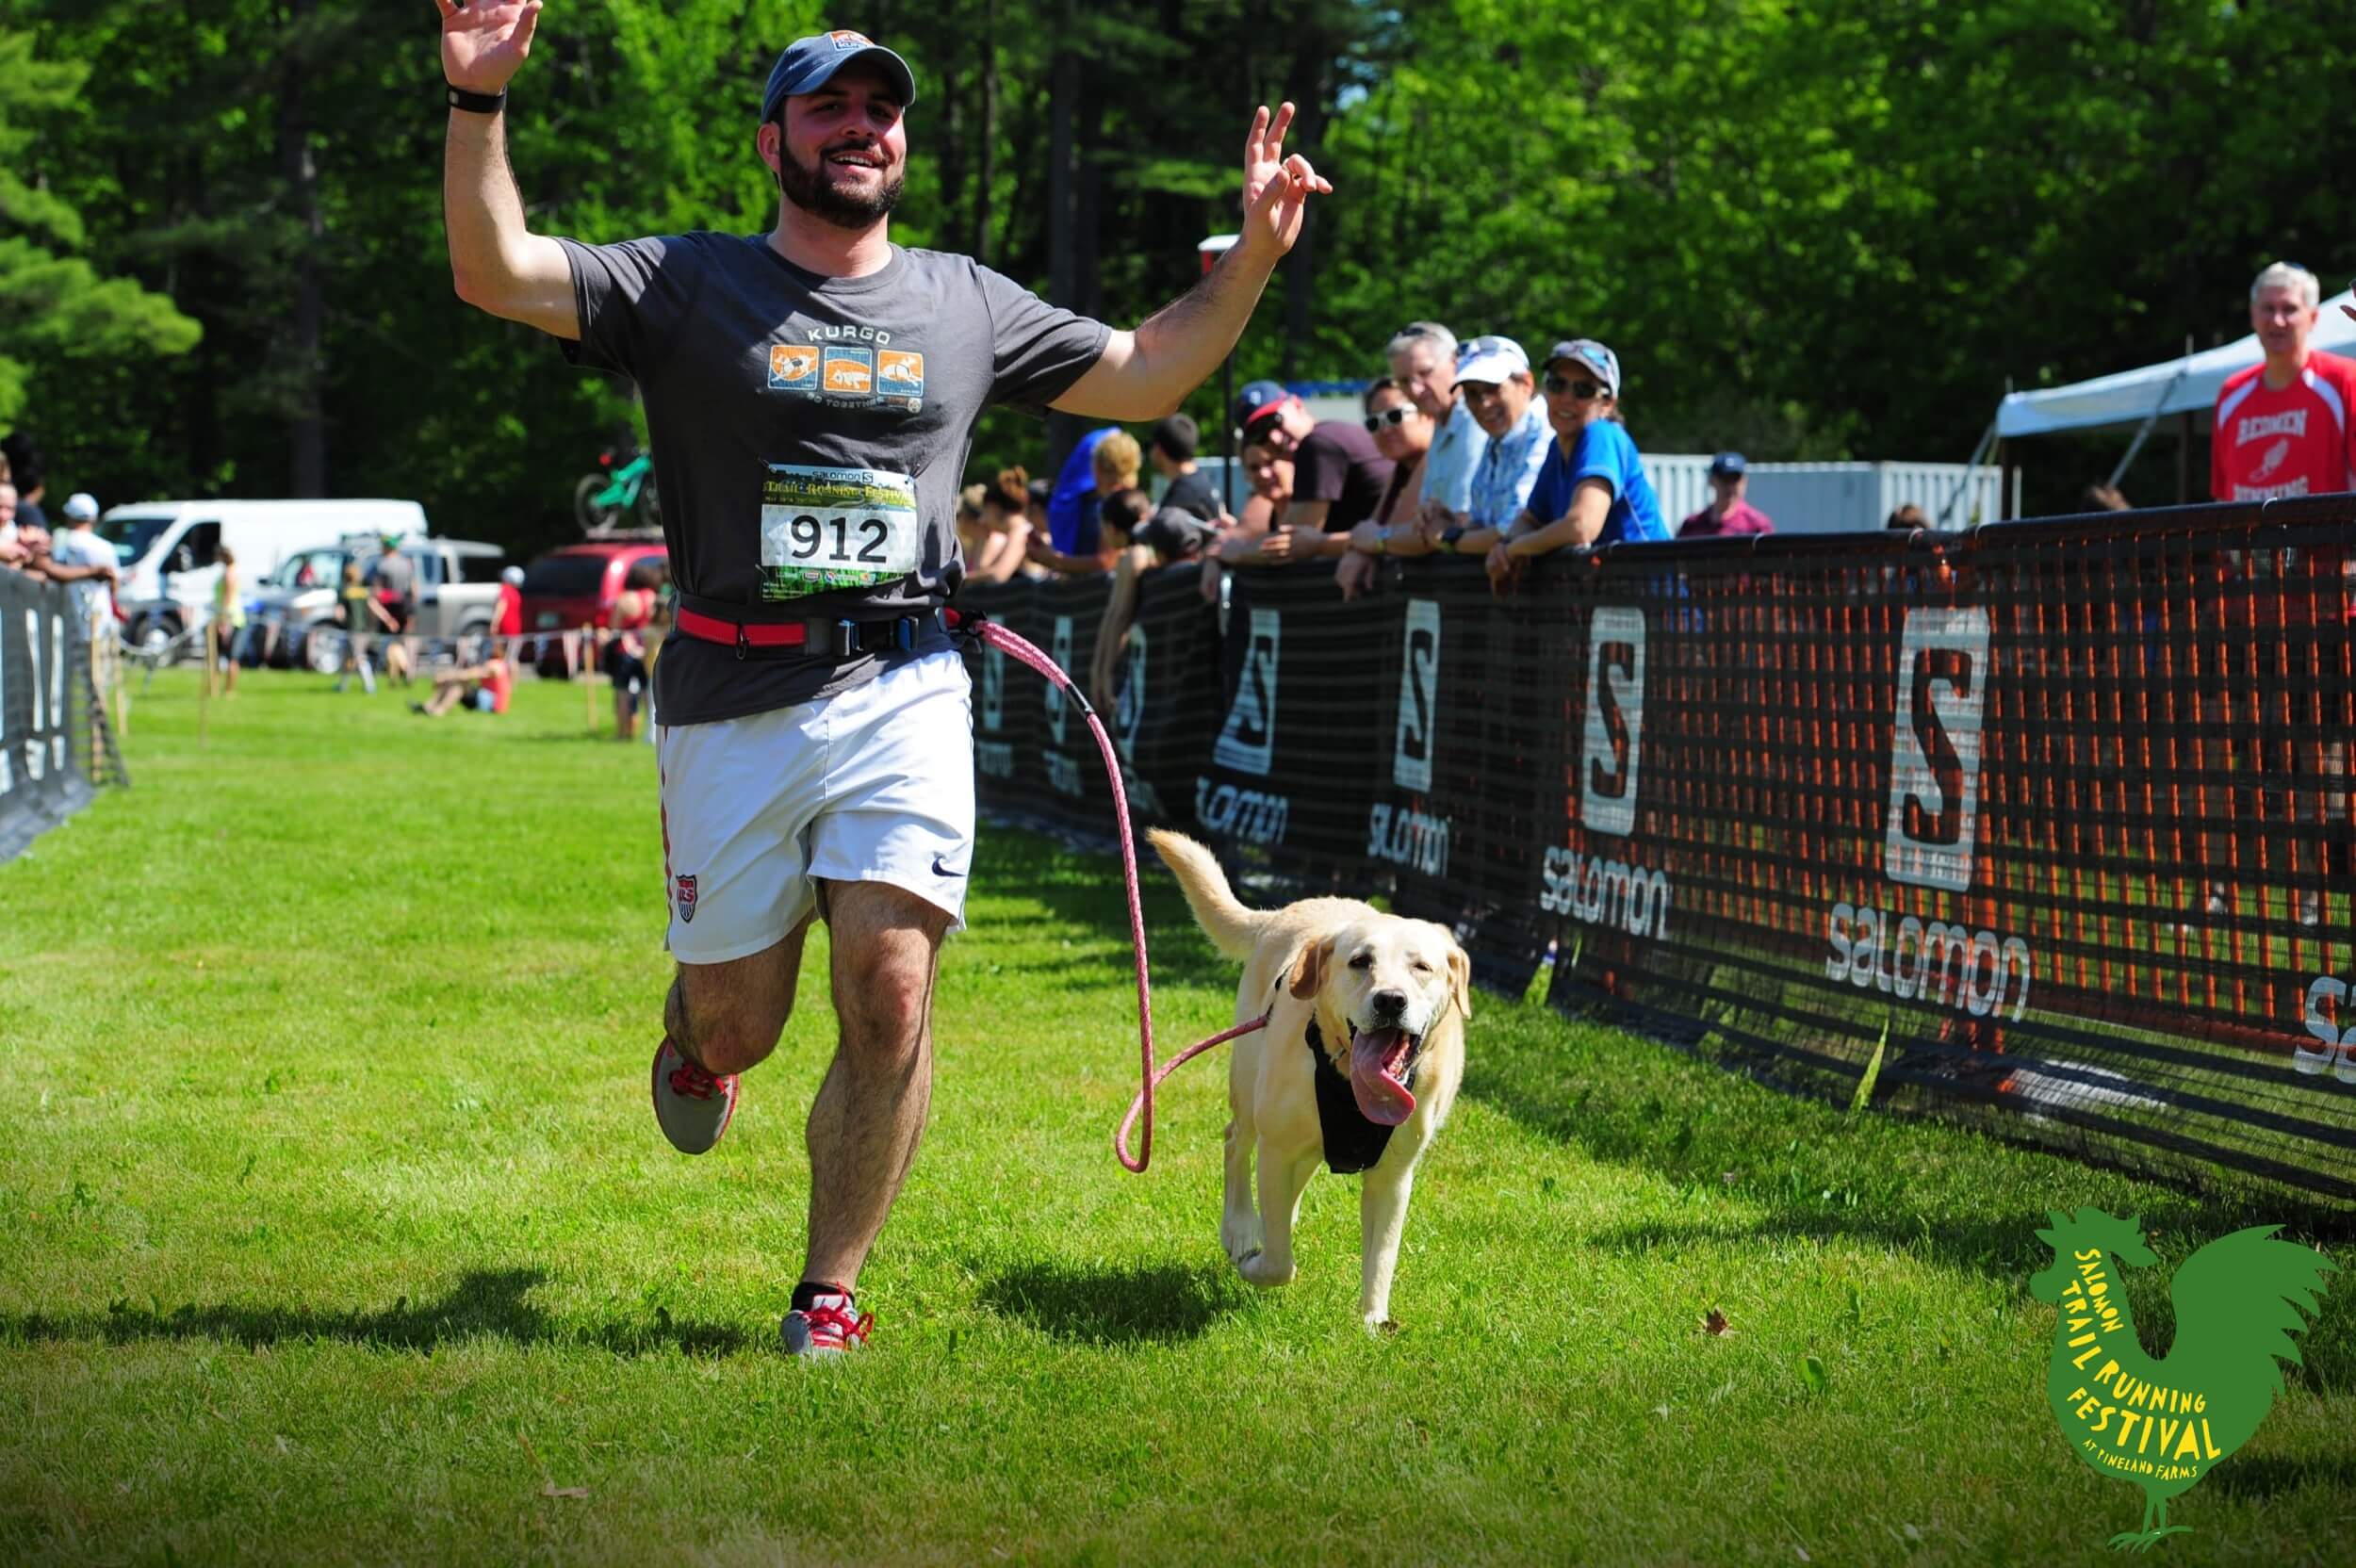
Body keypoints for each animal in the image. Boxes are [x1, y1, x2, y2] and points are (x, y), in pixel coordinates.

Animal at [1145, 824, 1461, 1328]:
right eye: (1360, 962)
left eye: (1422, 967)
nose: (1390, 1000)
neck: (1350, 1084)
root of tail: (1283, 912)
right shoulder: (1277, 1148)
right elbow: (1278, 1262)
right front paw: (1254, 1260)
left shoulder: (1393, 1176)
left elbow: (1381, 1254)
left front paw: (1373, 1322)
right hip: (1251, 1087)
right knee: (1237, 1144)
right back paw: (1240, 1227)